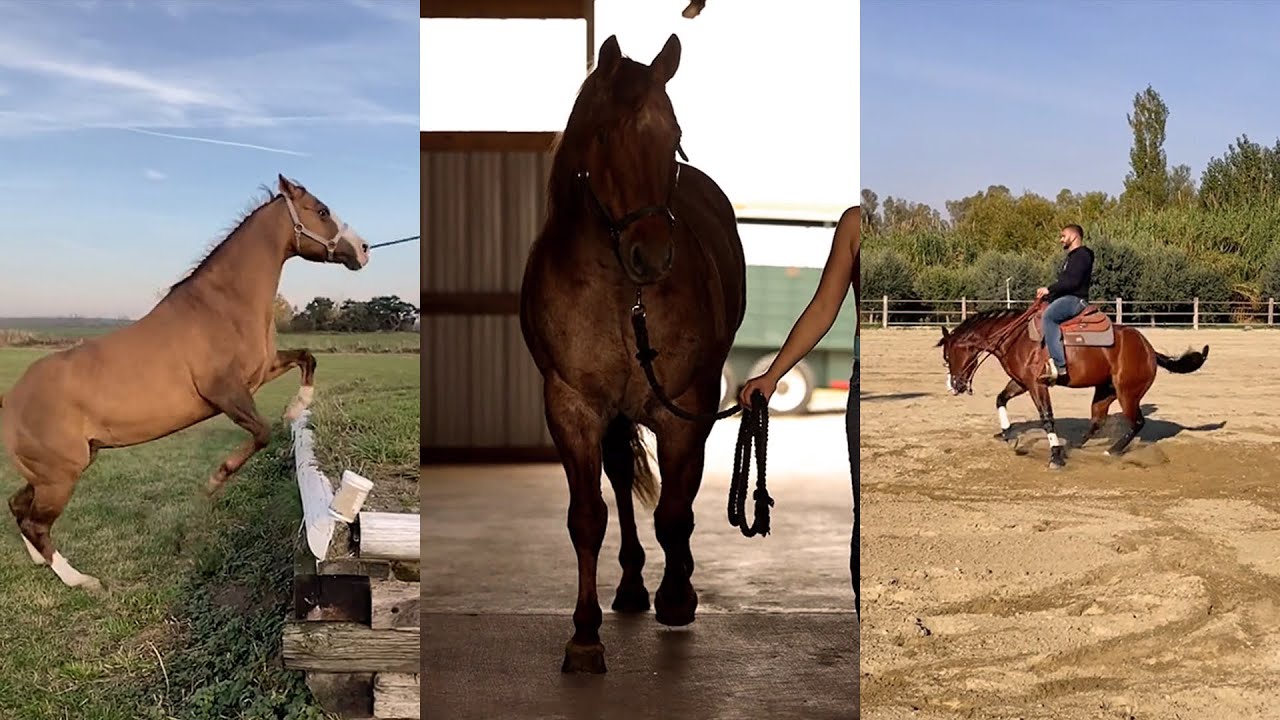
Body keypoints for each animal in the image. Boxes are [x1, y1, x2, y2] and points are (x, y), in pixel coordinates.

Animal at [0, 175, 370, 592]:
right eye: (321, 210)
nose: (363, 249)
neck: (220, 306)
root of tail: (9, 399)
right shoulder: (226, 392)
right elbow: (261, 432)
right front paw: (214, 480)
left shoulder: (261, 373)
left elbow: (307, 358)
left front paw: (296, 408)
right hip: (59, 477)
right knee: (35, 523)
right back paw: (81, 580)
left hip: (56, 471)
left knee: (19, 509)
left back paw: (39, 561)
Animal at [519, 34, 746, 674]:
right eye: (603, 136)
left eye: (674, 136)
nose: (653, 255)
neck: (624, 295)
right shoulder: (572, 406)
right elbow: (587, 517)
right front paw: (584, 635)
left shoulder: (684, 409)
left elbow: (673, 508)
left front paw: (677, 597)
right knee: (620, 480)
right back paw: (628, 586)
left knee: (679, 498)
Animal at [937, 303, 1208, 469]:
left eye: (948, 356)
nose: (954, 386)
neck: (1017, 337)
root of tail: (1150, 350)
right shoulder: (1021, 382)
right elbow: (1000, 399)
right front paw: (1006, 433)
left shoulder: (1037, 385)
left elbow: (1047, 418)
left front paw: (1055, 456)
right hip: (1104, 391)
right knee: (1097, 421)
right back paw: (1077, 445)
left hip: (1127, 393)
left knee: (1137, 422)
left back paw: (1112, 451)